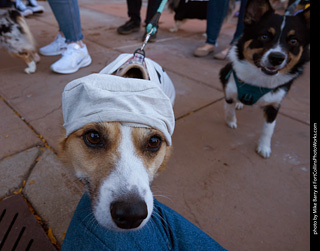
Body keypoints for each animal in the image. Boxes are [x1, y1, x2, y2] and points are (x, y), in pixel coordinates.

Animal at [220, 0, 310, 158]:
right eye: (264, 36)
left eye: (293, 41)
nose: (277, 58)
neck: (260, 78)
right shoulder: (229, 87)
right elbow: (229, 107)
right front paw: (231, 121)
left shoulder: (274, 105)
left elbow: (268, 129)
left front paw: (264, 147)